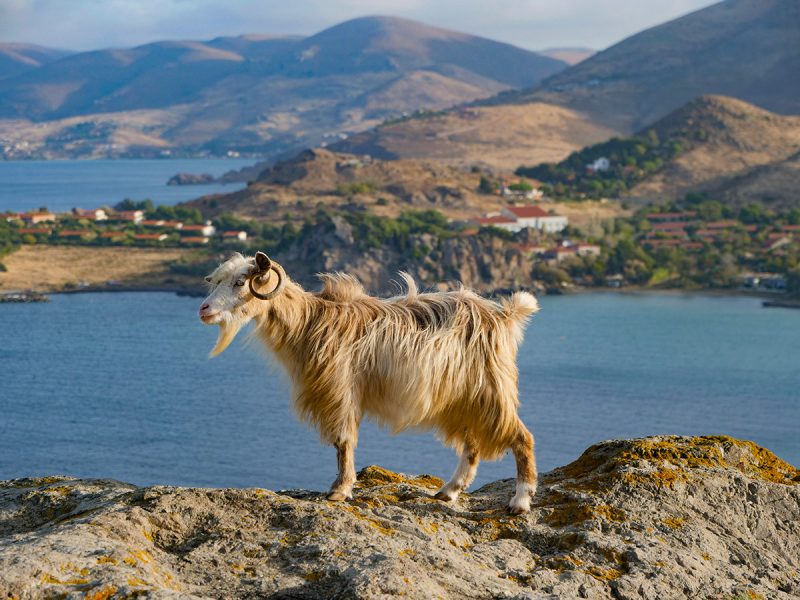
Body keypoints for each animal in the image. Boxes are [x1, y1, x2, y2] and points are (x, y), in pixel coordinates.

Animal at [197, 251, 540, 512]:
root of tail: (505, 314)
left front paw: (339, 490)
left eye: (240, 282)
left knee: (522, 438)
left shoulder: (340, 391)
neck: (309, 321)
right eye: (217, 281)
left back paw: (520, 501)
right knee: (472, 446)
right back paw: (448, 491)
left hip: (490, 389)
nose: (204, 309)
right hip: (463, 396)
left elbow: (343, 441)